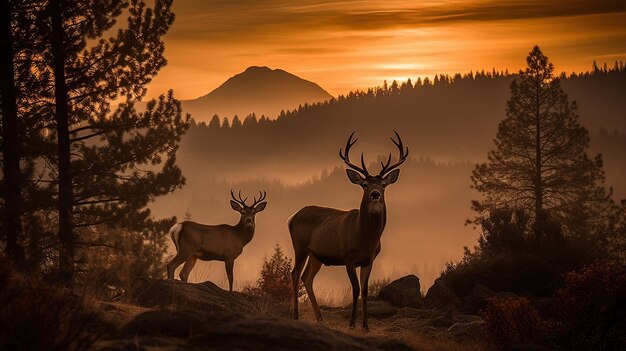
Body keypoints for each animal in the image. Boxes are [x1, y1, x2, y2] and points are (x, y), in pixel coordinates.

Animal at [288, 132, 408, 332]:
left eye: (383, 184)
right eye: (365, 184)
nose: (375, 194)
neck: (365, 239)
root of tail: (292, 217)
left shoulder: (369, 260)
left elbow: (365, 290)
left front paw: (366, 325)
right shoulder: (348, 257)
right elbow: (356, 289)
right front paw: (352, 324)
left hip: (316, 255)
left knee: (307, 277)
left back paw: (320, 317)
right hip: (300, 246)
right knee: (295, 274)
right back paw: (296, 316)